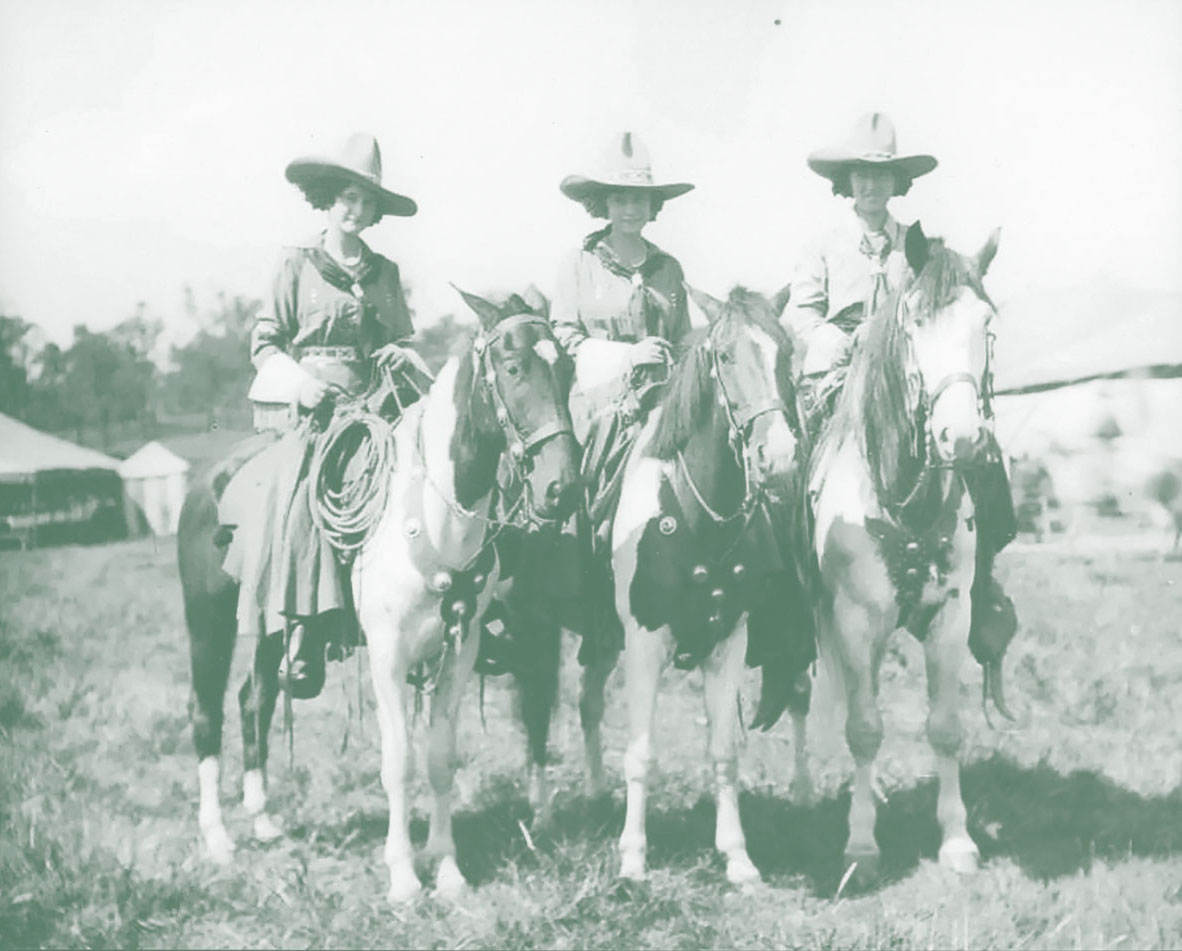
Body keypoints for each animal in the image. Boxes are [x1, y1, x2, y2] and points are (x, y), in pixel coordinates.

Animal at [177, 289, 579, 897]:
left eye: (569, 371)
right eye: (513, 369)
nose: (564, 487)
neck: (433, 515)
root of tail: (207, 478)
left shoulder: (457, 649)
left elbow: (438, 756)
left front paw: (447, 867)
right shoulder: (389, 653)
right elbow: (398, 762)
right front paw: (404, 877)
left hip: (274, 619)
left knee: (256, 698)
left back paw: (264, 819)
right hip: (209, 623)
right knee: (206, 712)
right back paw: (218, 838)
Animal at [572, 287, 803, 883]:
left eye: (787, 354)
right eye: (724, 356)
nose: (778, 456)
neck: (701, 517)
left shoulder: (729, 642)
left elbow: (724, 752)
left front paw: (738, 857)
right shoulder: (645, 642)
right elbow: (641, 753)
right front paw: (633, 857)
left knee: (588, 702)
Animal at [799, 224, 1002, 883]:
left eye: (986, 324)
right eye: (915, 322)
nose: (960, 437)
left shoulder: (950, 616)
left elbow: (945, 728)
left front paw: (957, 841)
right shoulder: (855, 622)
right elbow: (864, 729)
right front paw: (861, 846)